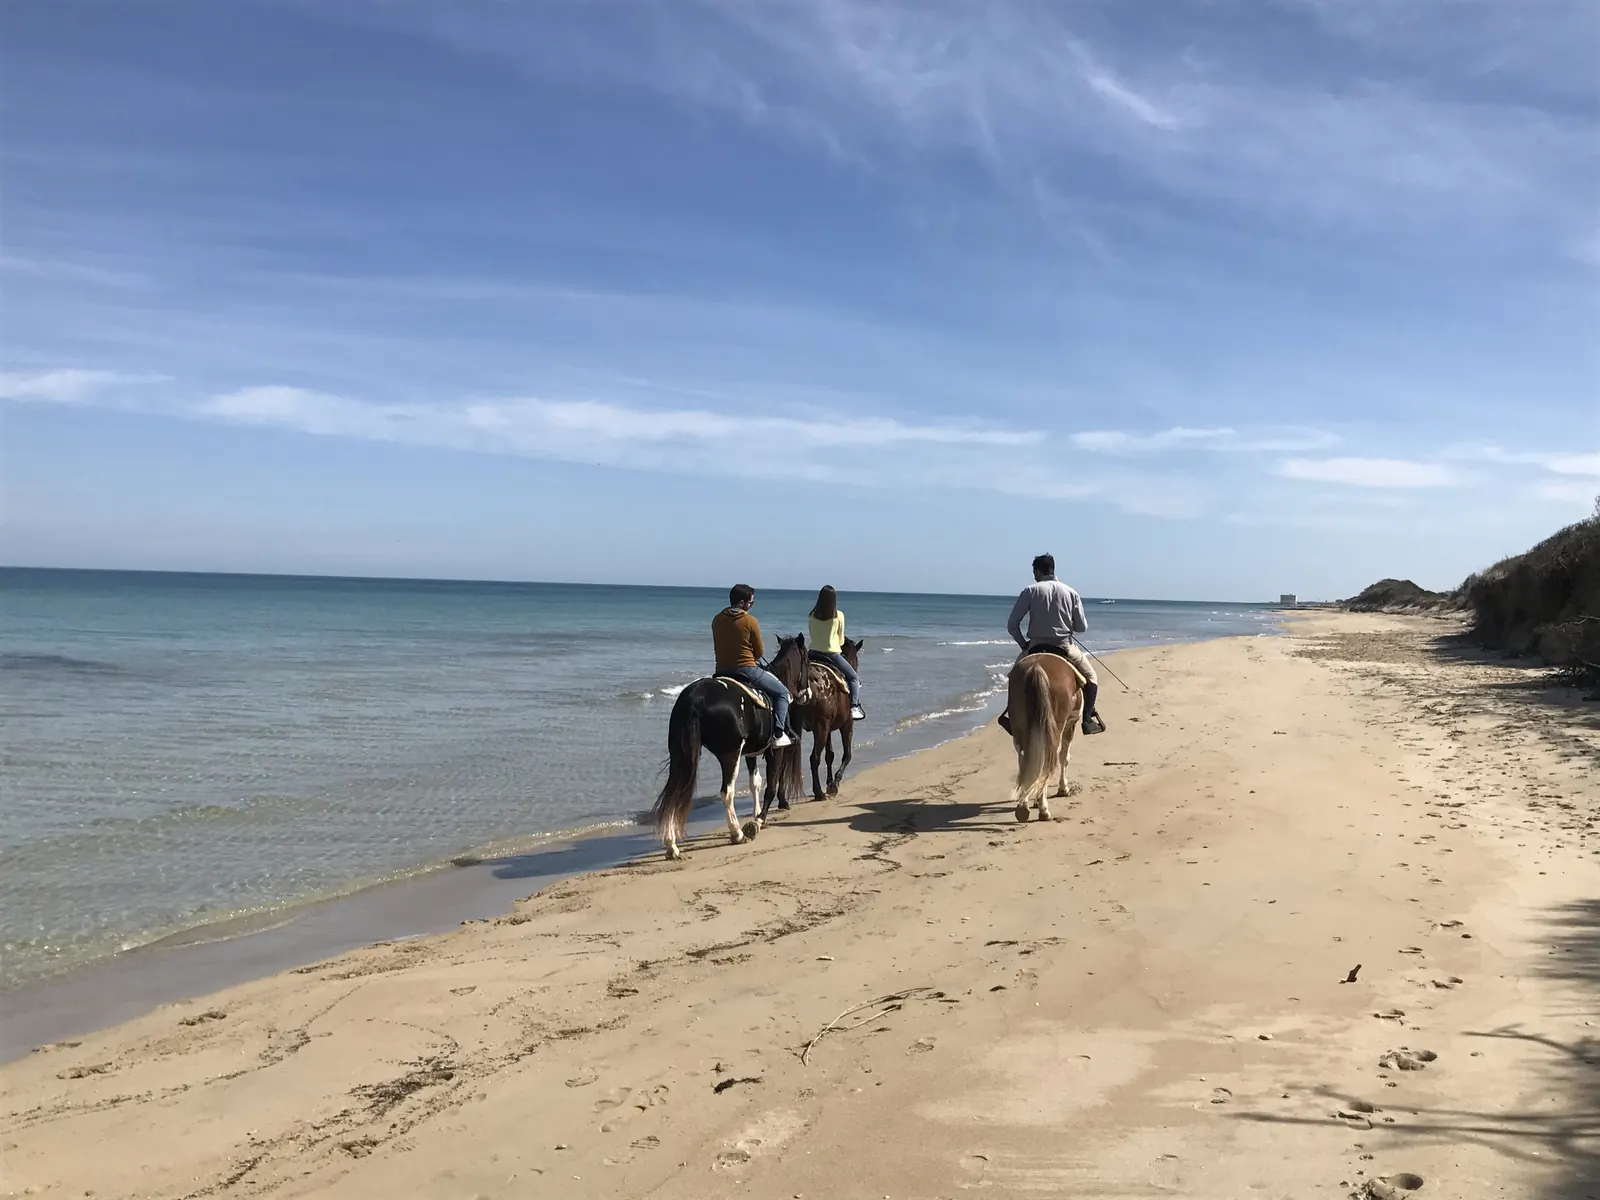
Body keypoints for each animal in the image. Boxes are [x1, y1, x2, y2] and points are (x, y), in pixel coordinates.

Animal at [650, 635, 808, 860]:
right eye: (807, 660)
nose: (805, 693)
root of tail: (696, 696)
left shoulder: (751, 752)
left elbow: (755, 782)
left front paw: (756, 814)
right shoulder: (775, 750)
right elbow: (770, 785)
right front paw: (758, 820)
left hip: (680, 754)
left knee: (674, 791)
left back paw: (672, 846)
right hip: (730, 754)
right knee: (727, 793)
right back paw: (737, 833)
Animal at [790, 638, 863, 803]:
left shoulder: (826, 728)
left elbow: (829, 755)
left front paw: (829, 782)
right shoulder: (846, 725)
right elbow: (847, 754)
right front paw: (834, 783)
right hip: (822, 728)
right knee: (814, 758)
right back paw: (818, 792)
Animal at [1006, 651, 1085, 823]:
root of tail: (1036, 667)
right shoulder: (1070, 725)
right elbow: (1064, 757)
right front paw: (1063, 789)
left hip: (1020, 729)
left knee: (1025, 761)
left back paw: (1023, 807)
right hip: (1056, 728)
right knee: (1048, 761)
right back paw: (1043, 810)